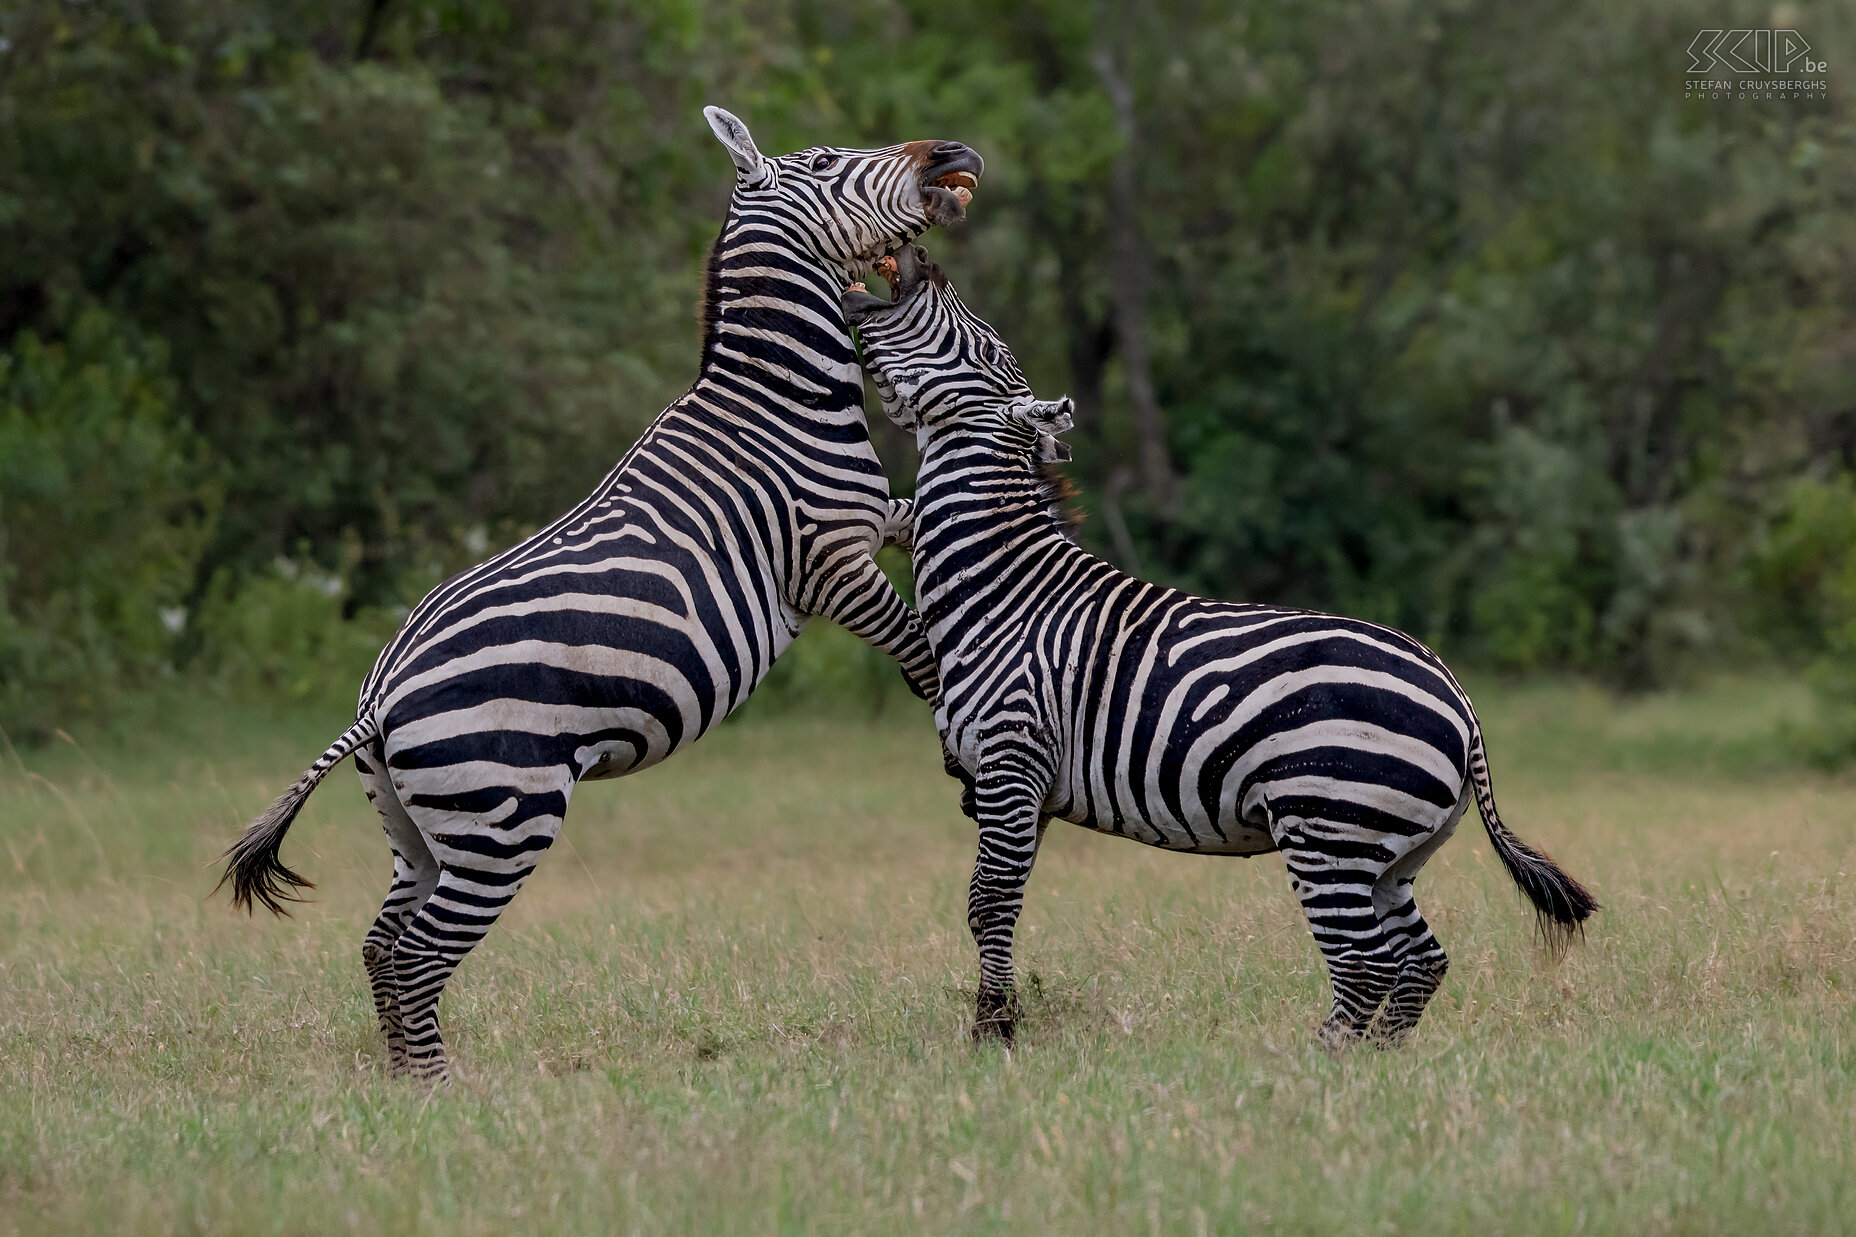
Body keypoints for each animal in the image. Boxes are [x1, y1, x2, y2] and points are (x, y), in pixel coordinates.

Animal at [217, 113, 987, 1077]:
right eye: (824, 160)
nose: (955, 153)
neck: (780, 401)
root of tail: (378, 699)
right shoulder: (828, 562)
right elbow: (919, 646)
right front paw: (958, 736)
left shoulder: (877, 519)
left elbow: (926, 533)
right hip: (504, 819)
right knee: (416, 954)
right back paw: (440, 1092)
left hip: (416, 831)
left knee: (379, 945)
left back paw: (400, 1086)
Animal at [842, 245, 1596, 1047]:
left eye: (984, 348)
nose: (924, 257)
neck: (1001, 589)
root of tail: (1460, 700)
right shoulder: (1019, 787)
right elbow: (997, 899)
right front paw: (1000, 1022)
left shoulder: (1013, 759)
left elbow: (990, 900)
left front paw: (993, 1034)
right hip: (1391, 855)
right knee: (1420, 961)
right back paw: (1376, 1064)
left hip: (1329, 829)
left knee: (1365, 965)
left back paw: (1311, 1065)